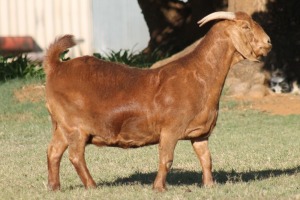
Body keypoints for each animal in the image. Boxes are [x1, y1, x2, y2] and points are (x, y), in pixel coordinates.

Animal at [45, 11, 272, 191]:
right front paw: (159, 188)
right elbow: (166, 159)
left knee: (53, 152)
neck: (200, 74)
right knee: (75, 155)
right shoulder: (170, 130)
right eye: (245, 26)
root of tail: (57, 67)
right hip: (76, 126)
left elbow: (206, 159)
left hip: (62, 126)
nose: (268, 42)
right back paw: (92, 186)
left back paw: (54, 187)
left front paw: (209, 185)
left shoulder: (200, 133)